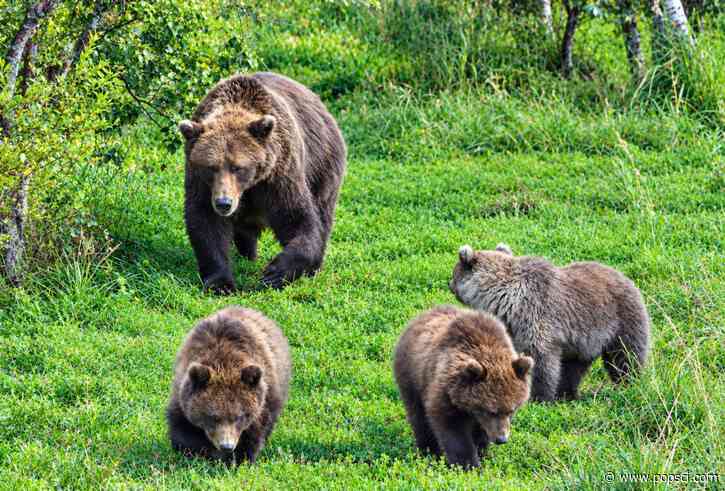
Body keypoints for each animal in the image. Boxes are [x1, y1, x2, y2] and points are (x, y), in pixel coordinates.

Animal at [166, 306, 291, 463]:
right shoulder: (182, 391)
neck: (224, 361)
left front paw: (239, 458)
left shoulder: (263, 402)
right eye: (213, 416)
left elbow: (254, 432)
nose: (226, 446)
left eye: (239, 416)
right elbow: (183, 429)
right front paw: (193, 452)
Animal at [178, 72, 347, 292]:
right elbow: (205, 221)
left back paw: (313, 268)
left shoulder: (279, 175)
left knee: (322, 213)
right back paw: (247, 255)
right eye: (211, 167)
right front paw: (221, 283)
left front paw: (274, 273)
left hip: (322, 166)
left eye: (238, 167)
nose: (224, 203)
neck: (250, 186)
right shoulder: (201, 182)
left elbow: (298, 218)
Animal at [393, 305, 533, 469]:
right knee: (419, 417)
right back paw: (428, 451)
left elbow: (481, 432)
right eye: (491, 411)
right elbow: (453, 431)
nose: (501, 439)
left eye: (512, 410)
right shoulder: (445, 392)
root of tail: (420, 317)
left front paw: (482, 452)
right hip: (412, 376)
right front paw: (469, 465)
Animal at [449, 243, 651, 402]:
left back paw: (627, 383)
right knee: (572, 368)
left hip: (621, 319)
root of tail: (628, 279)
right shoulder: (514, 329)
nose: (449, 285)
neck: (506, 299)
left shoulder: (536, 316)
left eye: (453, 272)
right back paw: (567, 394)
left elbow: (540, 360)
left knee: (625, 355)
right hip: (581, 344)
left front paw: (537, 397)